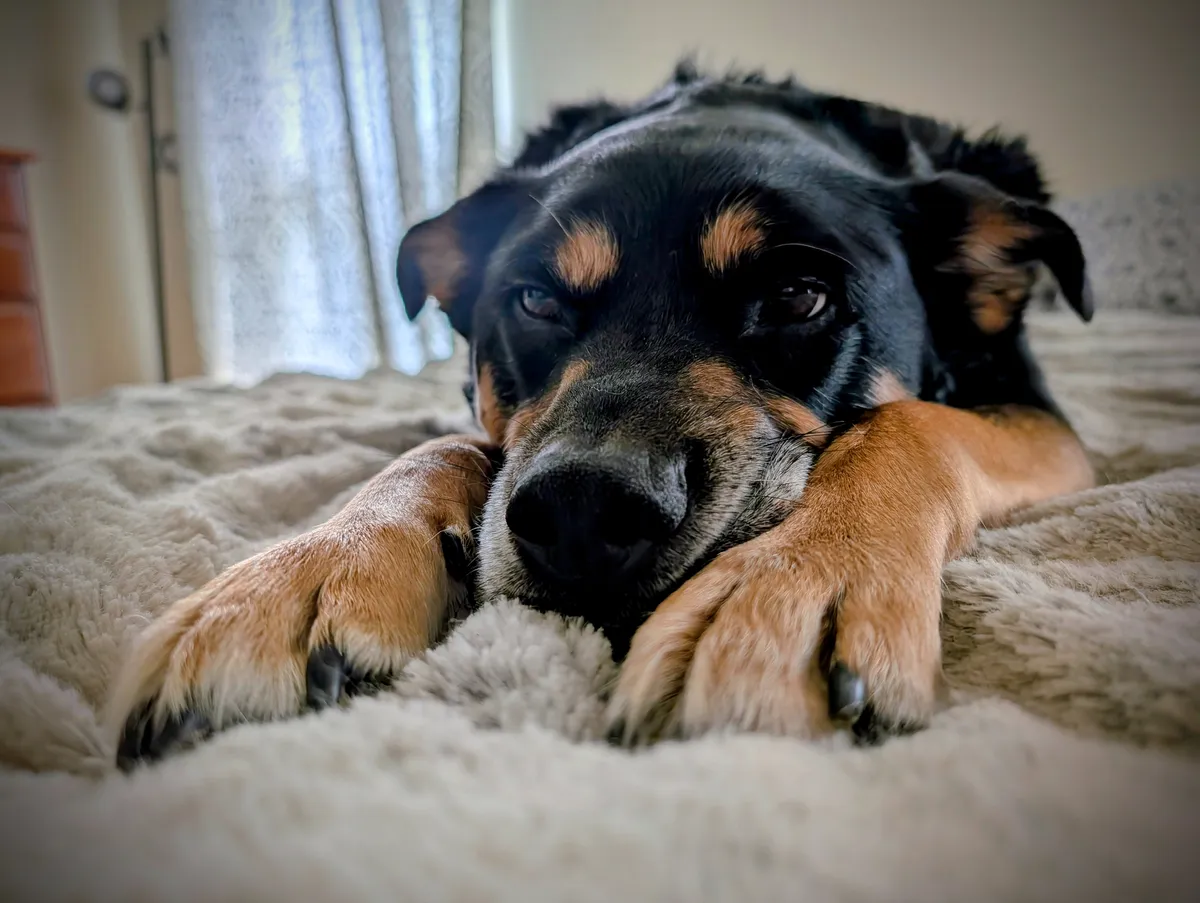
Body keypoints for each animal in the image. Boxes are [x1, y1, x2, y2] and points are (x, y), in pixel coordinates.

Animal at [112, 65, 1099, 768]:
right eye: (536, 301)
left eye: (798, 295)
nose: (582, 510)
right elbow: (450, 441)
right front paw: (302, 569)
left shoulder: (1037, 413)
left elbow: (906, 423)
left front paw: (793, 581)